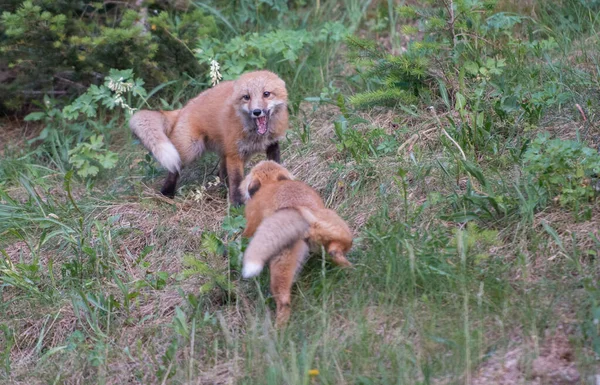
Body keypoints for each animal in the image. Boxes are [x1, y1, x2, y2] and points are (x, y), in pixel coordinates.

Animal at [130, 71, 290, 206]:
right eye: (246, 97)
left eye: (266, 94)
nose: (256, 112)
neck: (257, 136)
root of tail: (183, 109)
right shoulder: (234, 155)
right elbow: (237, 182)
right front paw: (237, 206)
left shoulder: (272, 144)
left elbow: (275, 166)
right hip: (191, 150)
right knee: (174, 170)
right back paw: (166, 193)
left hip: (227, 152)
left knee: (221, 173)